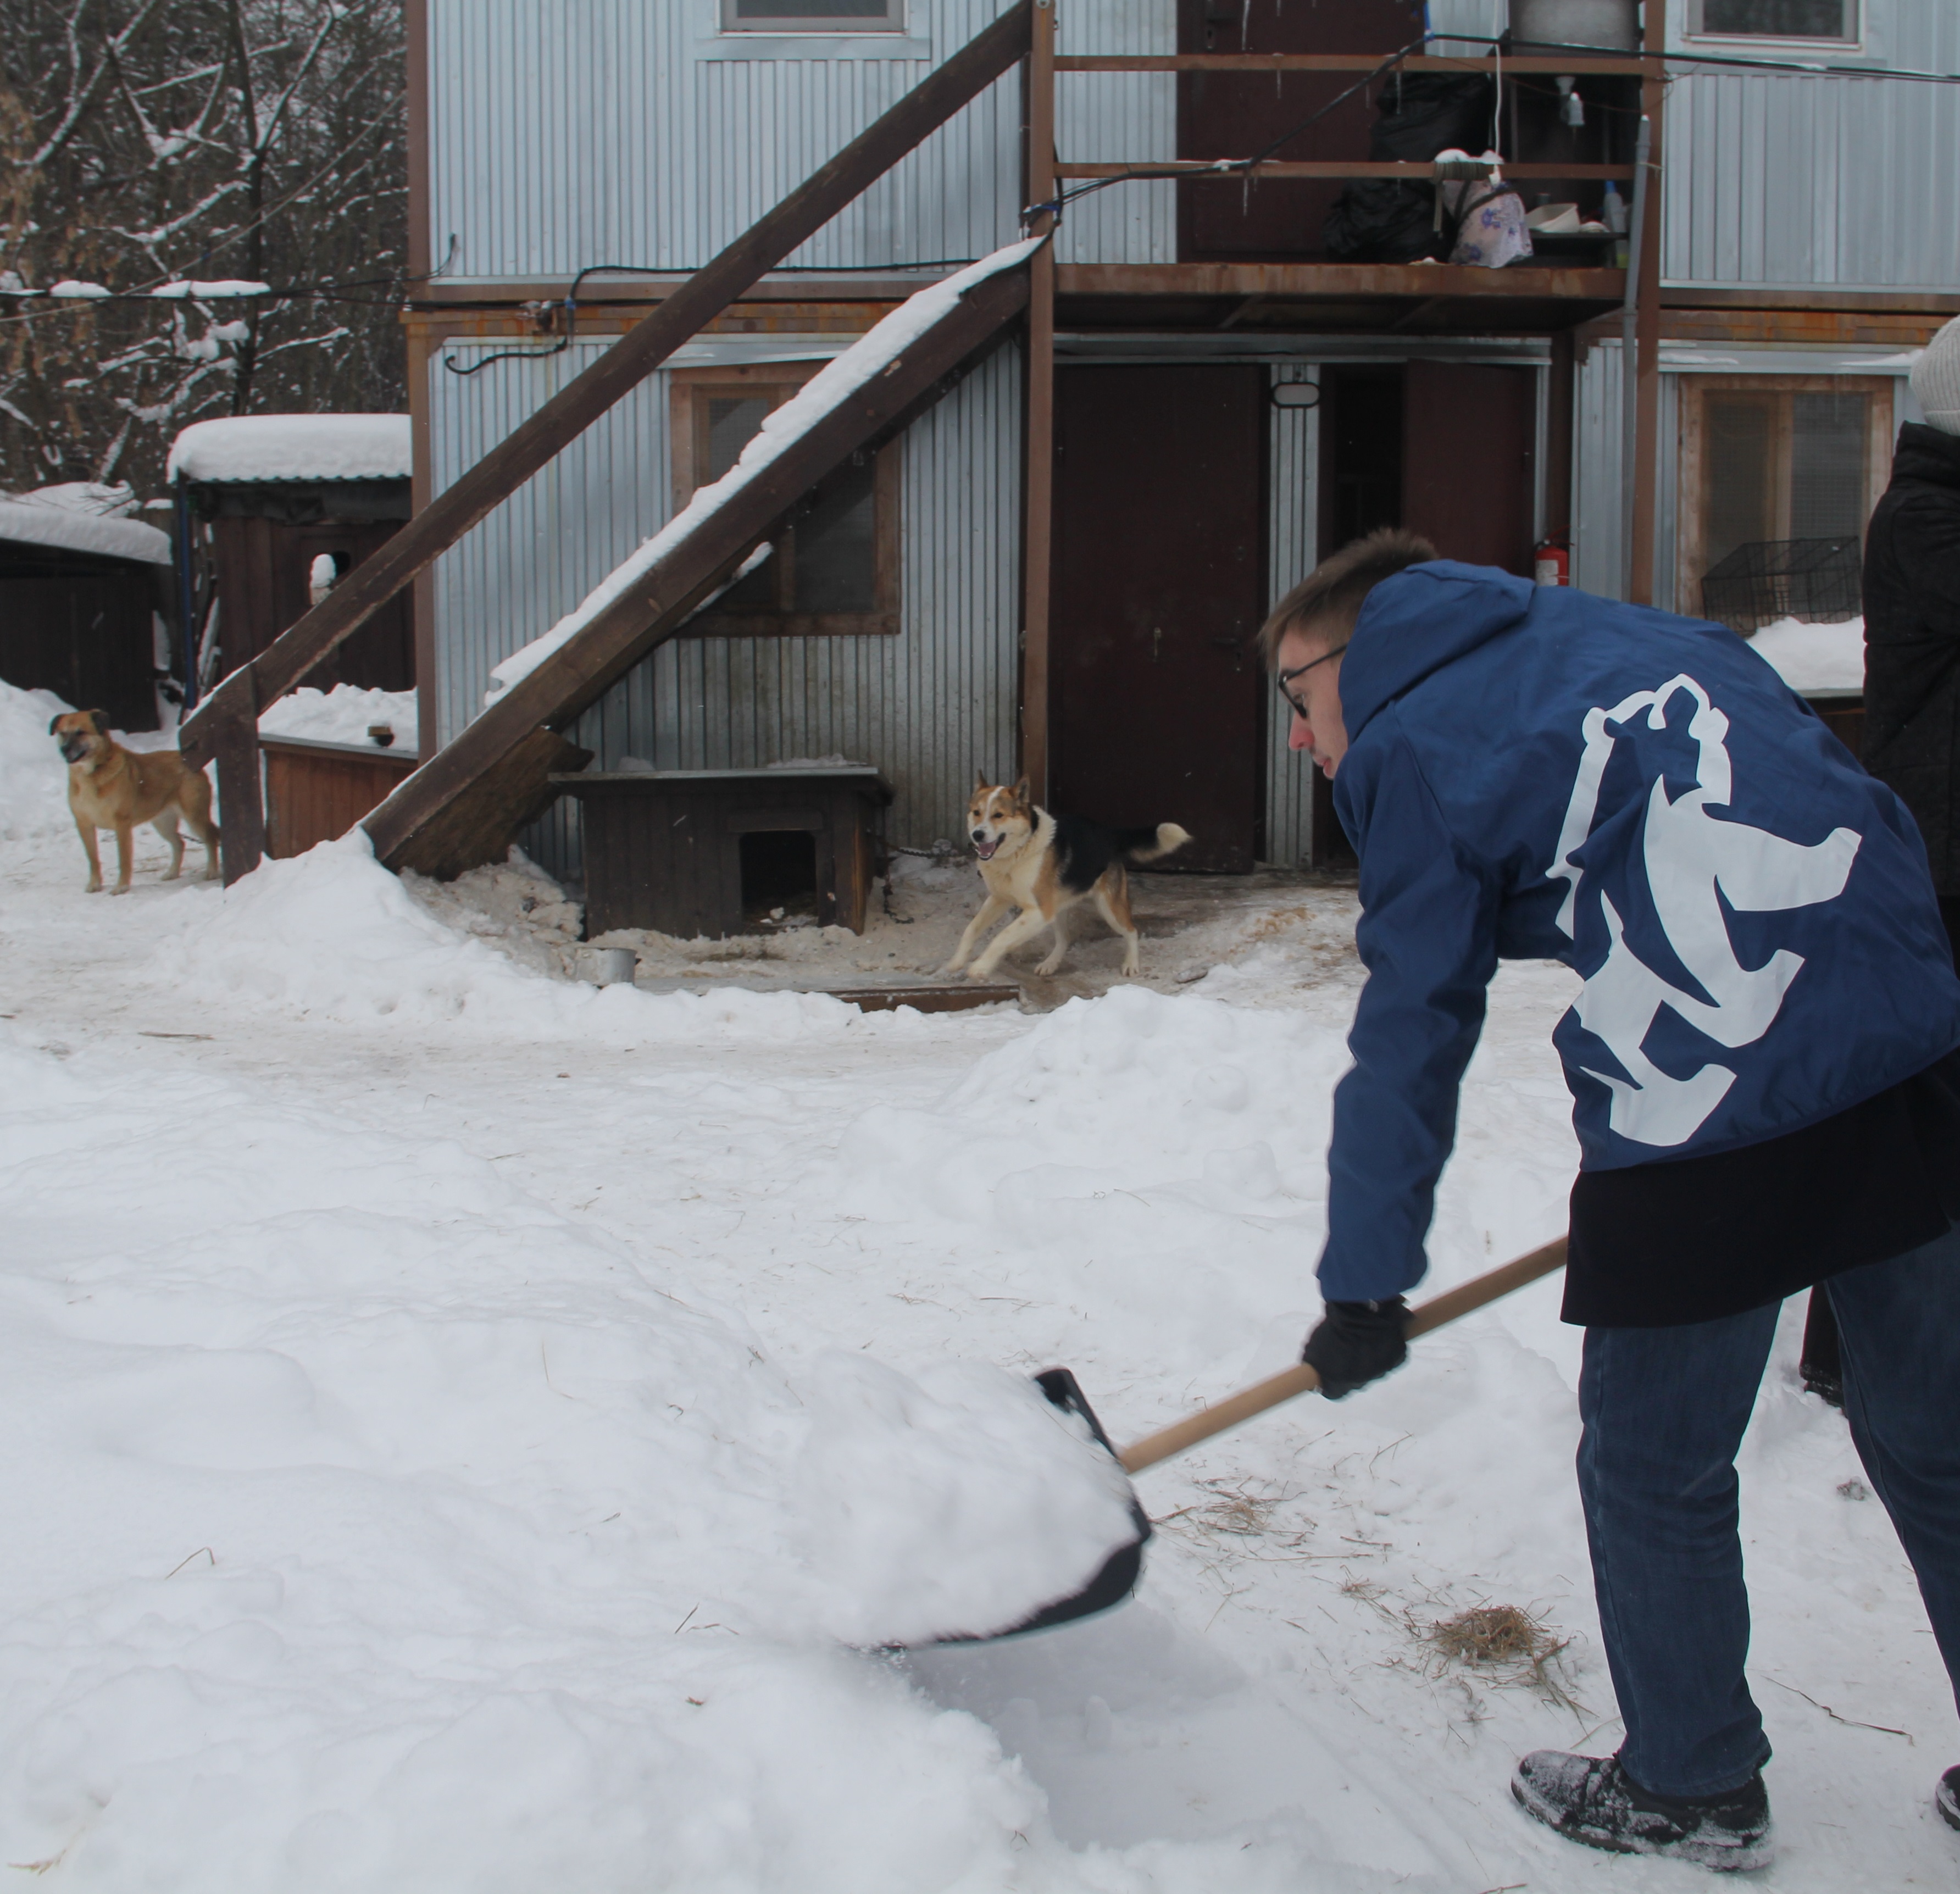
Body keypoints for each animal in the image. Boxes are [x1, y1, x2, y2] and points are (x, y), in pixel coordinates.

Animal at [51, 713, 220, 898]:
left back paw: (212, 871)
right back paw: (172, 873)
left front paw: (122, 887)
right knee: (179, 843)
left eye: (80, 732)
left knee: (210, 837)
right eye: (62, 733)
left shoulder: (122, 824)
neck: (92, 773)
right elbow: (93, 859)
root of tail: (187, 758)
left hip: (194, 817)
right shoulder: (84, 824)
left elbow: (123, 859)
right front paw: (95, 884)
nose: (64, 749)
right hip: (163, 823)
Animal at [941, 776, 1184, 984]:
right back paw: (1051, 963)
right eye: (977, 813)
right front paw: (957, 961)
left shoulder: (1039, 912)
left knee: (1132, 931)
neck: (1019, 850)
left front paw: (981, 967)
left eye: (998, 815)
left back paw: (1131, 964)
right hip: (1059, 906)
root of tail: (1110, 832)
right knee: (1064, 939)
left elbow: (1002, 936)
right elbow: (972, 928)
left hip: (1109, 907)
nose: (977, 835)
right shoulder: (1000, 899)